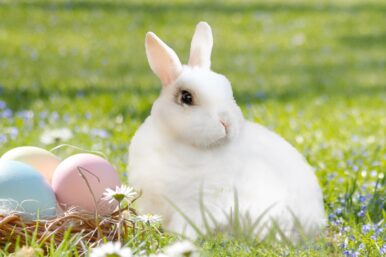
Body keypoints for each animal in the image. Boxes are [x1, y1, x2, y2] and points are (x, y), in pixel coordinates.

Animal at [130, 21, 326, 239]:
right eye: (186, 97)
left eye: (227, 90)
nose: (226, 122)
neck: (177, 141)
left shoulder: (199, 204)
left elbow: (187, 225)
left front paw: (180, 238)